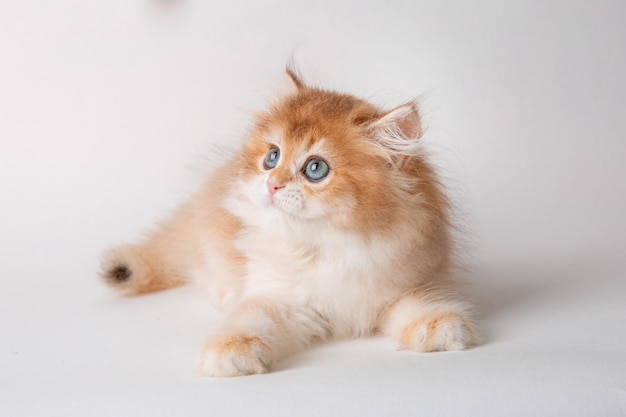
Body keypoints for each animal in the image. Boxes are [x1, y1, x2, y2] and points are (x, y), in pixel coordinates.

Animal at [101, 67, 472, 374]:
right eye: (272, 157)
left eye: (315, 168)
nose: (272, 184)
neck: (328, 246)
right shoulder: (279, 296)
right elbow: (250, 318)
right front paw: (229, 353)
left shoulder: (401, 283)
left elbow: (417, 304)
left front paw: (441, 328)